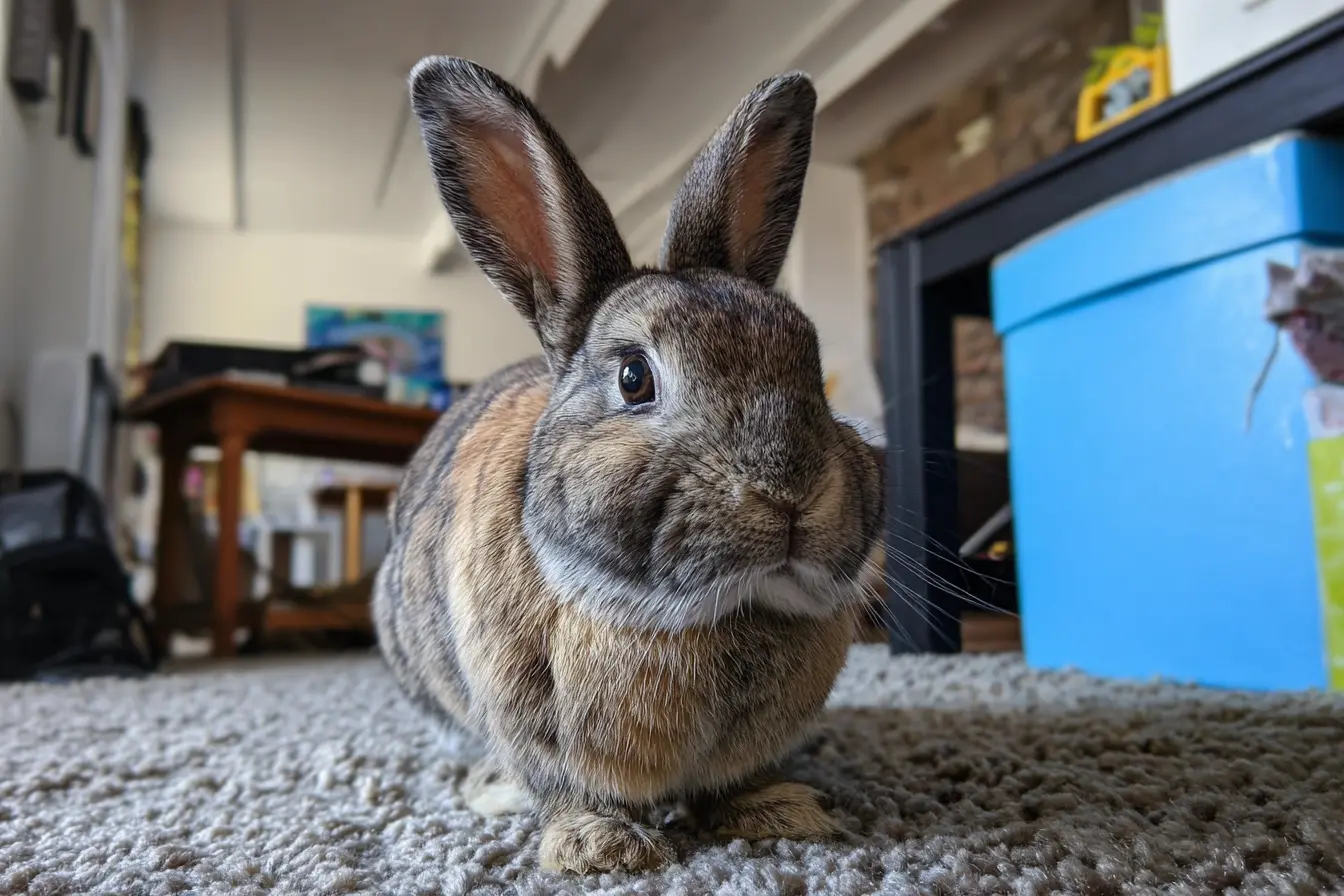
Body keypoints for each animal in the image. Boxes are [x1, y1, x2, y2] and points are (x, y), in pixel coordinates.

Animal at [372, 55, 886, 875]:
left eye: (810, 362)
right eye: (635, 379)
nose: (790, 491)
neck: (702, 616)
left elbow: (739, 782)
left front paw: (781, 813)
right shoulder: (534, 726)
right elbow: (565, 786)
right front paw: (601, 848)